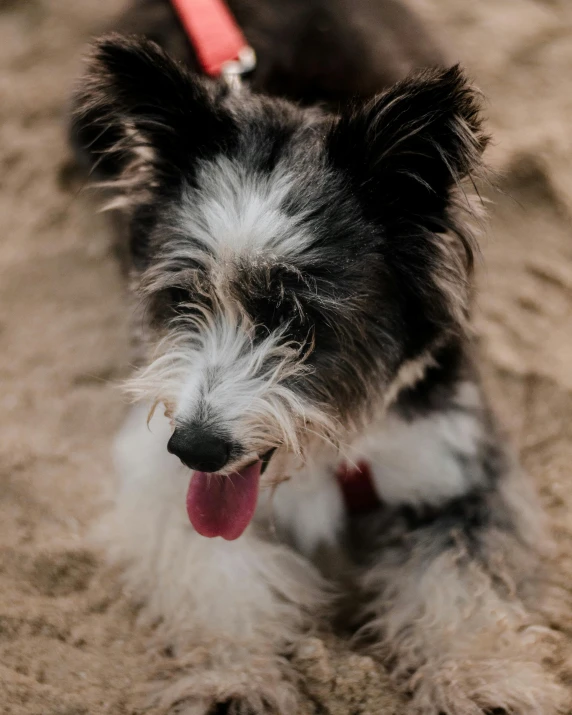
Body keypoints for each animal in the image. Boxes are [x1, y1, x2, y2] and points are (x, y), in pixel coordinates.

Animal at [70, 0, 564, 712]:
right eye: (186, 297)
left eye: (299, 320)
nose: (196, 448)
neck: (338, 444)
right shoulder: (159, 481)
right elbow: (218, 578)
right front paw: (236, 678)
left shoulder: (459, 462)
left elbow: (462, 585)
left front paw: (480, 680)